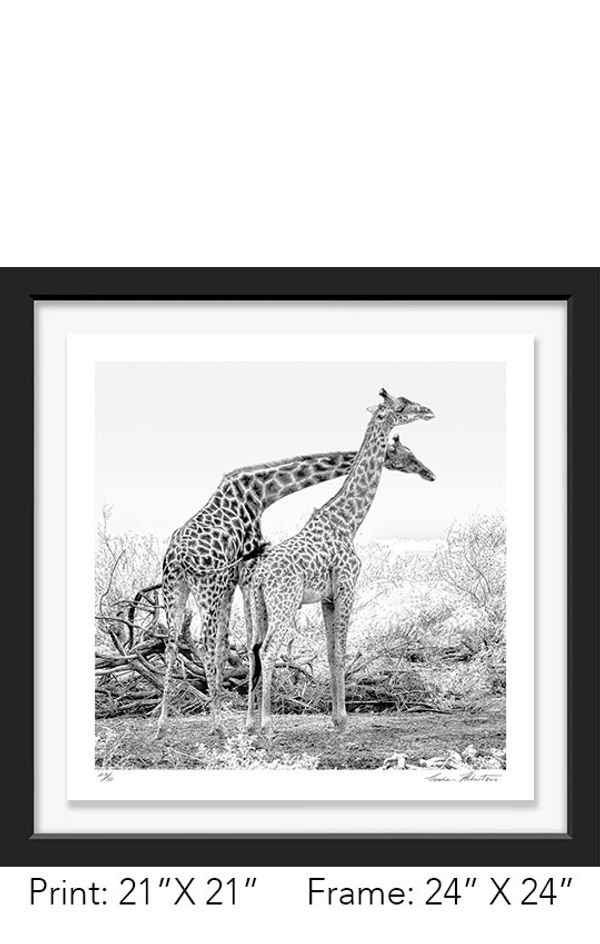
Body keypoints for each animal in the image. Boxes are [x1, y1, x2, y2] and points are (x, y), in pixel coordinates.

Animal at [157, 442, 412, 738]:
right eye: (404, 453)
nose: (425, 471)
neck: (261, 492)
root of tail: (178, 557)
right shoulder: (245, 571)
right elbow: (241, 644)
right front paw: (248, 721)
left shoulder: (235, 580)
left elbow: (237, 644)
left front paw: (249, 720)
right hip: (208, 589)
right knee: (206, 645)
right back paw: (218, 726)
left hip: (175, 589)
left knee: (172, 644)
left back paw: (162, 725)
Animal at [246, 389, 435, 739]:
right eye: (403, 404)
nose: (429, 411)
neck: (348, 520)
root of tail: (260, 575)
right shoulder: (347, 585)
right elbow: (342, 650)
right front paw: (344, 720)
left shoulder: (326, 596)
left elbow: (332, 651)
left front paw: (336, 718)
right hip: (285, 602)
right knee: (267, 649)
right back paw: (267, 725)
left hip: (258, 605)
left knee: (251, 650)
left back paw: (250, 724)